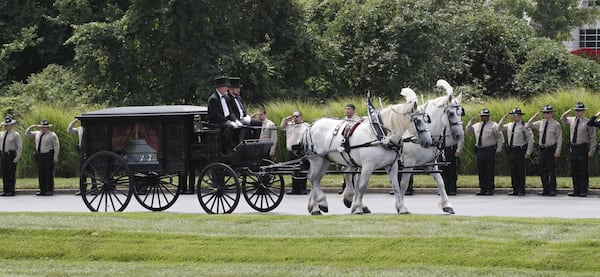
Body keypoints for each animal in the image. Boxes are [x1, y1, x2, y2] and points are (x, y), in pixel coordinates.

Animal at [304, 90, 432, 213]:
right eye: (417, 121)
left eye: (427, 120)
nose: (428, 141)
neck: (381, 135)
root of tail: (312, 125)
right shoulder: (367, 165)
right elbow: (362, 186)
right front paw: (357, 208)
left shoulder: (392, 165)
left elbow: (396, 187)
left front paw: (402, 208)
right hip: (317, 159)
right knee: (313, 178)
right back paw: (321, 203)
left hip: (325, 159)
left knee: (316, 179)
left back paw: (315, 207)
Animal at [394, 80, 464, 213]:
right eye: (451, 113)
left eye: (460, 113)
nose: (459, 135)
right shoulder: (409, 163)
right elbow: (404, 184)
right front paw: (401, 207)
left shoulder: (431, 163)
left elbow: (441, 182)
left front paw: (447, 205)